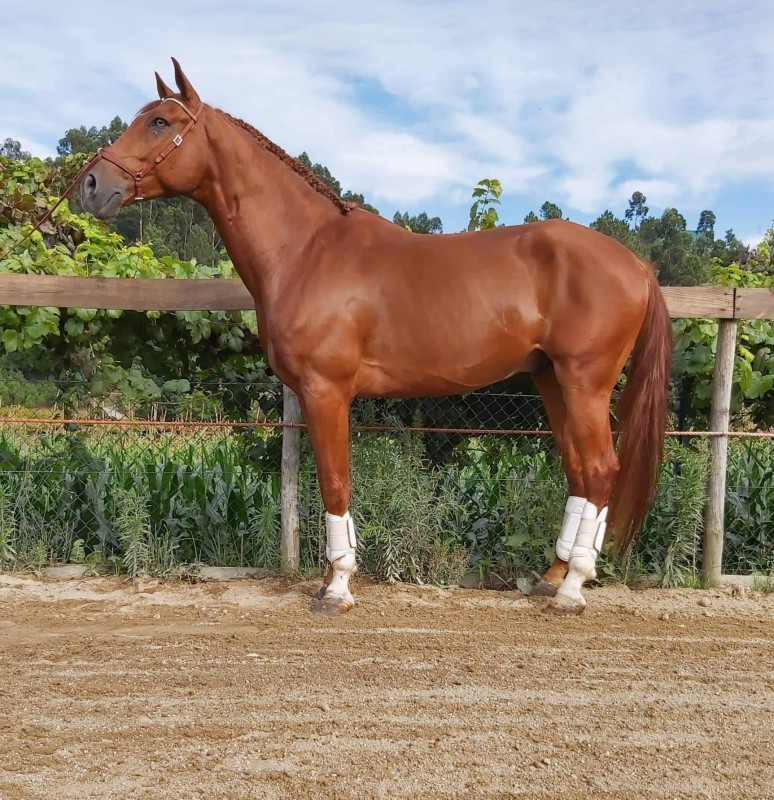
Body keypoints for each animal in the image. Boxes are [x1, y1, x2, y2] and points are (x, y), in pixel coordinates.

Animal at [79, 59, 672, 616]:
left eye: (160, 122)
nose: (90, 184)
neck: (307, 249)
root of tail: (637, 265)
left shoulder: (326, 391)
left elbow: (335, 482)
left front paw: (337, 586)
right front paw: (331, 578)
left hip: (585, 381)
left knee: (601, 469)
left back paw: (573, 587)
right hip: (551, 380)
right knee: (578, 471)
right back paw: (552, 576)